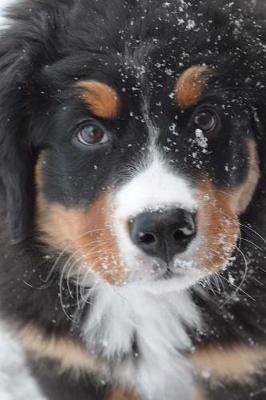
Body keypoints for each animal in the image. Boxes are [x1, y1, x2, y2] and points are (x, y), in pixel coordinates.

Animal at [0, 0, 266, 398]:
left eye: (205, 118)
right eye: (90, 133)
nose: (164, 228)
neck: (153, 303)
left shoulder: (241, 366)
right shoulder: (69, 362)